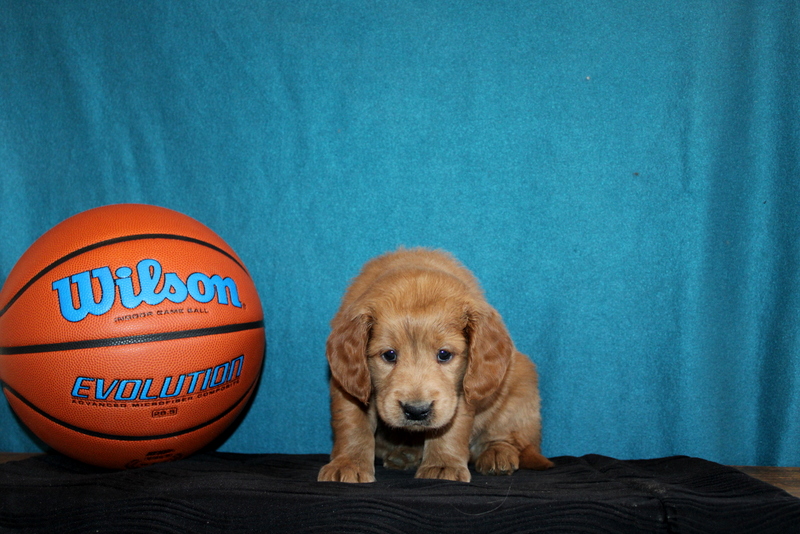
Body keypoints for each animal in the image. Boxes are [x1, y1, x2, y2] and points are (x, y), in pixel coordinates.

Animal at [316, 249, 552, 484]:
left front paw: (442, 465)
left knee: (509, 437)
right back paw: (404, 453)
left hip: (520, 387)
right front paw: (347, 464)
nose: (416, 411)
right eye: (389, 355)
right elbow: (353, 423)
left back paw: (497, 453)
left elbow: (450, 428)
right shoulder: (348, 384)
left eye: (444, 354)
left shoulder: (460, 389)